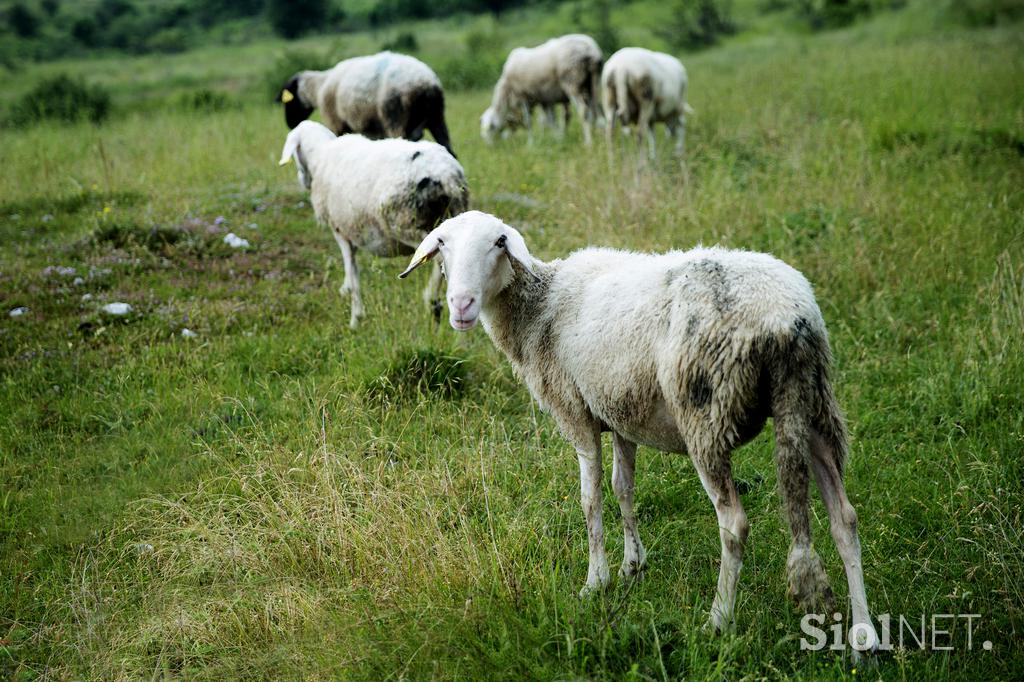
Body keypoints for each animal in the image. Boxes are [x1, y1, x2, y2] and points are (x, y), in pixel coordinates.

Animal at [280, 51, 456, 157]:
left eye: (290, 100)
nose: (290, 124)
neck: (318, 88)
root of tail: (425, 84)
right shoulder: (372, 129)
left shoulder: (337, 124)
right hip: (437, 117)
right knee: (449, 149)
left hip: (395, 117)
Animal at [282, 119, 468, 327]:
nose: (302, 180)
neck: (320, 156)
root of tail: (446, 176)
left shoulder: (340, 231)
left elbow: (352, 271)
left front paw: (355, 319)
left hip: (407, 224)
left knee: (438, 260)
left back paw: (432, 301)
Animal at [399, 210, 880, 659]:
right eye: (442, 244)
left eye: (499, 242)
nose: (461, 305)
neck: (539, 305)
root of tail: (786, 320)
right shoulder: (619, 411)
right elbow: (623, 489)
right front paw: (634, 564)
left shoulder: (575, 413)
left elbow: (591, 499)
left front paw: (596, 581)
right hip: (812, 406)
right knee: (844, 518)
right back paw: (864, 636)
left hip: (704, 415)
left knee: (734, 524)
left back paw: (718, 619)